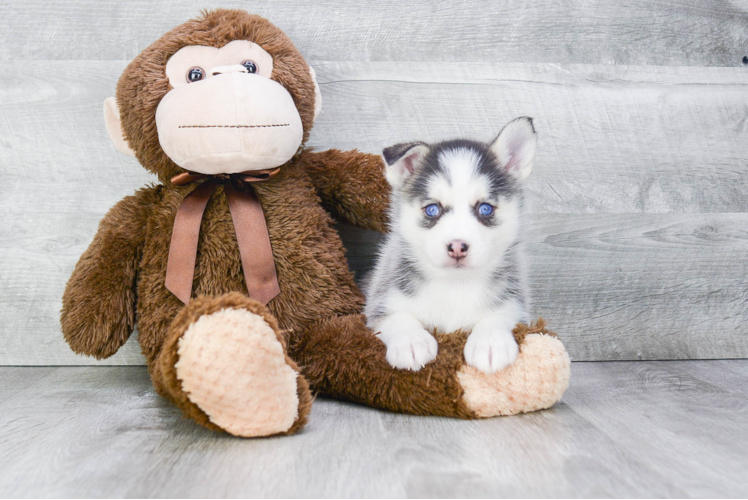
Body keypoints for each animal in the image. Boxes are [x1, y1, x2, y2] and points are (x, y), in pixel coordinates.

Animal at [364, 117, 536, 374]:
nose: (457, 246)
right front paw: (410, 342)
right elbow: (398, 317)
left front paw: (490, 342)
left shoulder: (516, 304)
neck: (455, 285)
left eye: (485, 208)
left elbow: (499, 316)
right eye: (432, 209)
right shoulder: (380, 301)